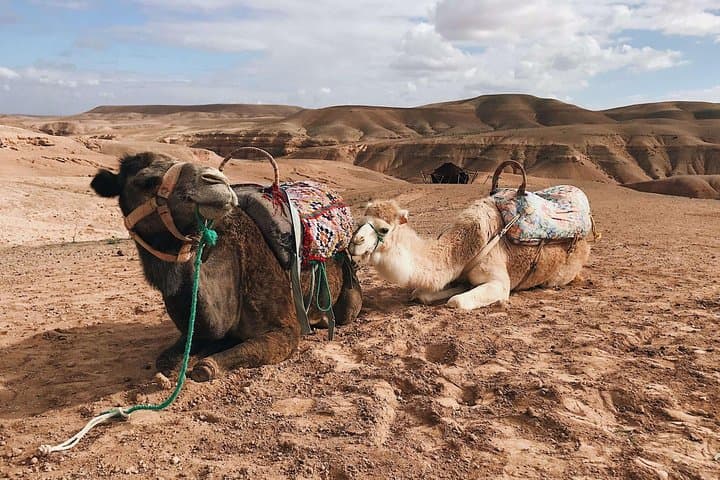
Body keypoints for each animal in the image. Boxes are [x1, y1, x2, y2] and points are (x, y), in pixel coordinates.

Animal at [91, 152, 362, 382]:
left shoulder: (286, 329)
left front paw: (205, 363)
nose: (215, 181)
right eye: (147, 181)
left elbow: (206, 367)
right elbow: (166, 361)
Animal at [348, 198, 590, 310]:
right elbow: (421, 293)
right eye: (360, 222)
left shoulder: (500, 282)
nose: (354, 243)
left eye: (384, 229)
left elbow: (456, 302)